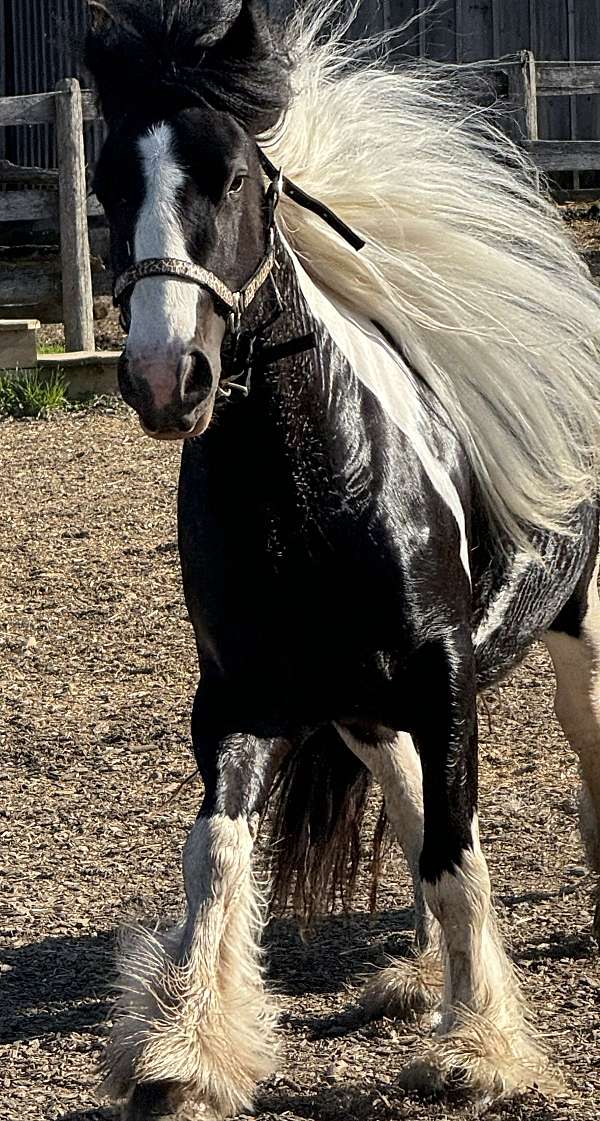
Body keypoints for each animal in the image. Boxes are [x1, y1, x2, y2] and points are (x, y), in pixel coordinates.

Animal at [85, 1, 600, 1117]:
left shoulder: (445, 682)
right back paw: (421, 974)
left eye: (235, 175)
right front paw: (185, 1047)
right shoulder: (242, 698)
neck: (315, 486)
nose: (165, 376)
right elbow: (220, 852)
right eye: (107, 184)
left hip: (579, 631)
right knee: (410, 813)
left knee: (581, 757)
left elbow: (457, 855)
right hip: (367, 711)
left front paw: (479, 1050)